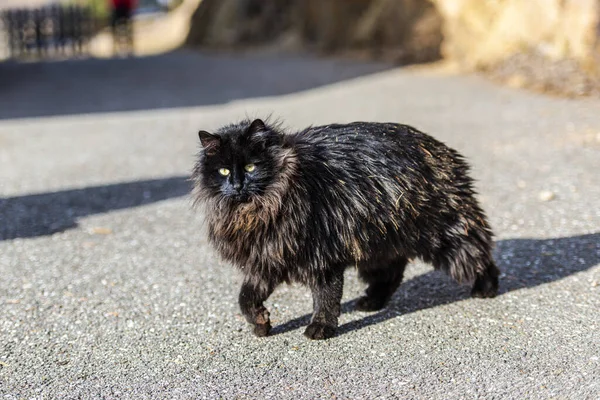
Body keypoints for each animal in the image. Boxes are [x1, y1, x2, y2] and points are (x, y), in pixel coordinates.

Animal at [191, 117, 496, 340]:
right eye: (223, 171)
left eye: (251, 167)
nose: (237, 185)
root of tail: (438, 147)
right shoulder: (267, 257)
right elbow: (245, 298)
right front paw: (261, 323)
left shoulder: (322, 258)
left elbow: (326, 298)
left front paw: (321, 328)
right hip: (377, 243)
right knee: (393, 271)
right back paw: (372, 302)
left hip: (444, 235)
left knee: (479, 252)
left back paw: (487, 287)